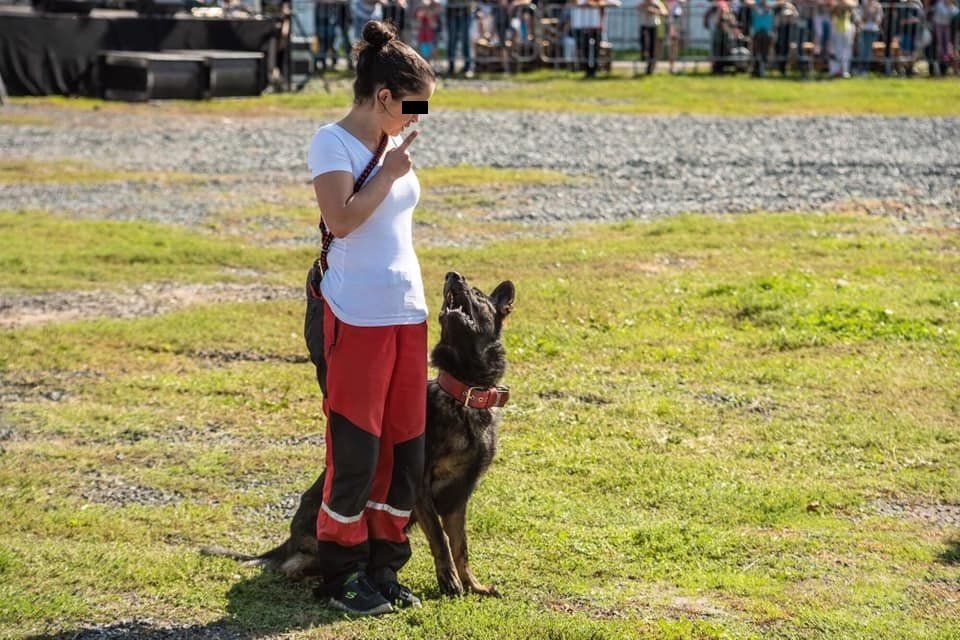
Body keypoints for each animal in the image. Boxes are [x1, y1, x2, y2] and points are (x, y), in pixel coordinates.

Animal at [204, 272, 516, 600]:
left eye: (478, 293)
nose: (452, 275)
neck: (464, 392)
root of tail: (288, 542)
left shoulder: (458, 498)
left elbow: (460, 545)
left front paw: (472, 584)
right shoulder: (419, 488)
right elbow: (441, 539)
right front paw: (451, 582)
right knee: (295, 565)